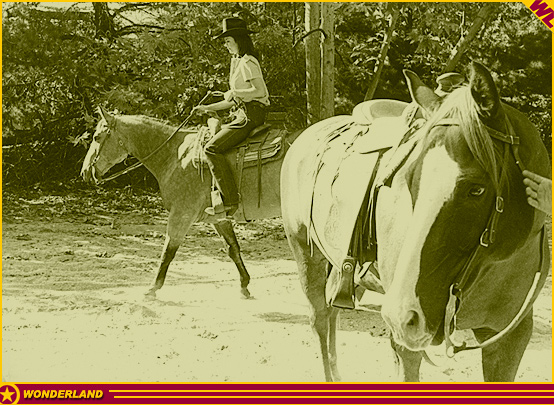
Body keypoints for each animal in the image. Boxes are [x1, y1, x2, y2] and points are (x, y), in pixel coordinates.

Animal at [81, 109, 294, 298]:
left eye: (97, 137)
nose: (84, 171)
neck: (175, 156)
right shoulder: (218, 218)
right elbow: (232, 248)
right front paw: (244, 285)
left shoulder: (181, 214)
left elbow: (168, 251)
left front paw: (153, 289)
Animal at [282, 61, 548, 380]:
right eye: (408, 179)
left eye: (477, 190)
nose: (402, 315)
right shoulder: (406, 342)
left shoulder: (508, 339)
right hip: (304, 251)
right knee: (320, 318)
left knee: (333, 309)